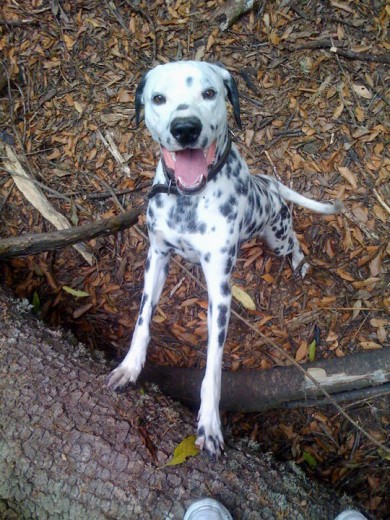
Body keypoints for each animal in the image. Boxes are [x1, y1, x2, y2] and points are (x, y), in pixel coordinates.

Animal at [107, 62, 342, 460]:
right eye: (158, 97)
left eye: (209, 92)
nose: (185, 128)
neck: (188, 200)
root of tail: (269, 183)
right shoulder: (157, 256)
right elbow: (142, 321)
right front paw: (130, 366)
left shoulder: (220, 292)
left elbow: (213, 368)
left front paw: (210, 424)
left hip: (277, 235)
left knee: (294, 242)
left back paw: (300, 263)